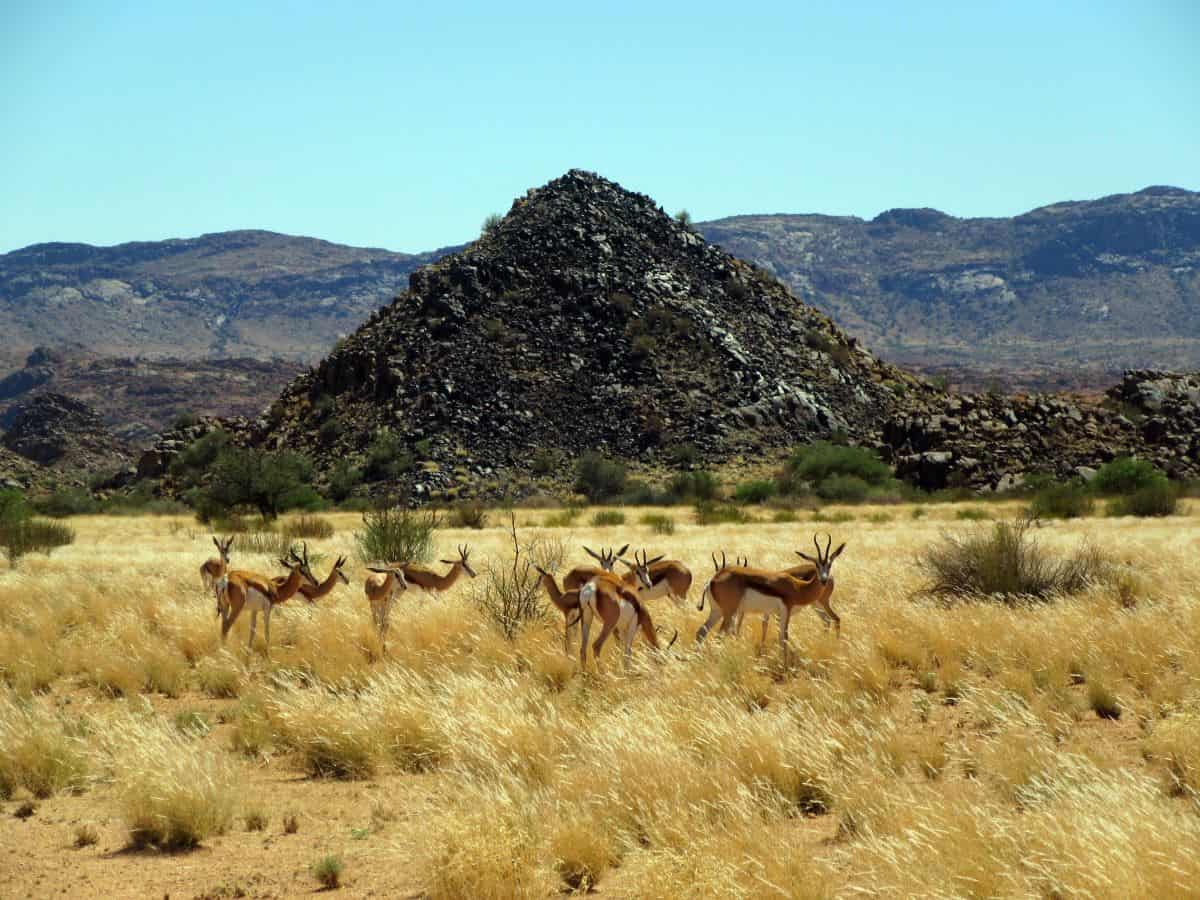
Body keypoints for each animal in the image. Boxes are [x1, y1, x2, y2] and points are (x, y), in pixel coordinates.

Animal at [696, 535, 844, 662]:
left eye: (830, 564)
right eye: (817, 565)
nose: (824, 580)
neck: (797, 587)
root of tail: (712, 580)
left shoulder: (774, 614)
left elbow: (778, 637)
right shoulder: (785, 612)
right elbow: (784, 638)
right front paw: (784, 666)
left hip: (717, 612)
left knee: (701, 632)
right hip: (729, 613)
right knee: (718, 635)